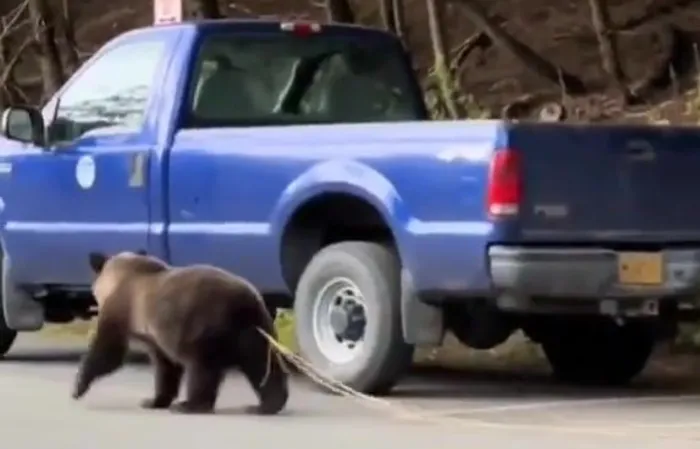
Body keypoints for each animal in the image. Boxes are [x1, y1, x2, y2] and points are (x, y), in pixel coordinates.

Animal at [71, 250, 289, 415]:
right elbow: (166, 367)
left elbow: (107, 351)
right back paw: (265, 405)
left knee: (202, 369)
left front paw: (78, 387)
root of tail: (245, 303)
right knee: (263, 366)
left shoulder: (123, 310)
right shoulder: (155, 334)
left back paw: (190, 405)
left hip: (205, 326)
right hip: (256, 330)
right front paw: (154, 400)